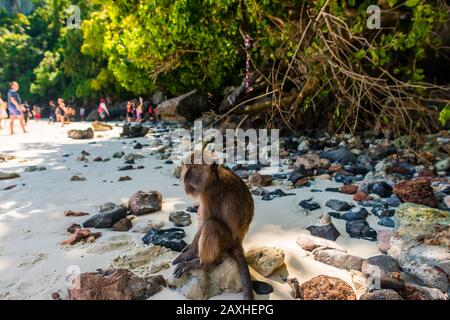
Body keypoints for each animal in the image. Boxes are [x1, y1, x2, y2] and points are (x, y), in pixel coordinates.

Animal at [174, 154, 255, 298]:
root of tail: (238, 242)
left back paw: (202, 264)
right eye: (187, 166)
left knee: (211, 224)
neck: (214, 178)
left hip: (226, 241)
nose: (183, 177)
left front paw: (189, 254)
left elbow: (206, 221)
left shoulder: (211, 194)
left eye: (193, 167)